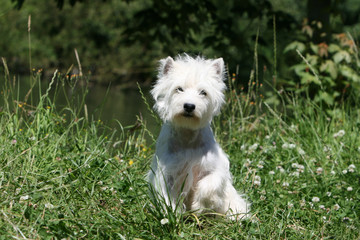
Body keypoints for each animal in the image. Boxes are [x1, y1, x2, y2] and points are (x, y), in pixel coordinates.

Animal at [146, 54, 250, 219]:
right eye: (179, 89)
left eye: (203, 92)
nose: (189, 106)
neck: (188, 135)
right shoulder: (166, 172)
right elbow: (166, 195)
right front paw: (171, 213)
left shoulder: (215, 167)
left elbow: (209, 184)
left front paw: (198, 206)